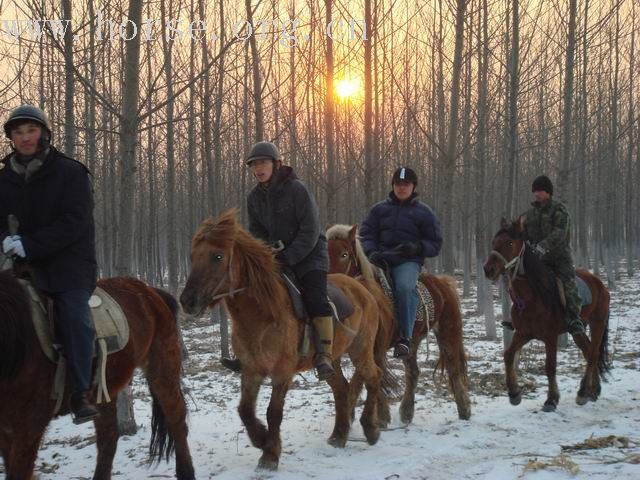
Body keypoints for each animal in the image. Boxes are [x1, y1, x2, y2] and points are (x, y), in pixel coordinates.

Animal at [178, 211, 382, 472]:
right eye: (193, 256)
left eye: (218, 256)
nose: (187, 301)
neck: (263, 313)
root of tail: (362, 287)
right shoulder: (251, 369)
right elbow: (245, 410)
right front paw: (261, 438)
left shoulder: (282, 371)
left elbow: (273, 412)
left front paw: (270, 455)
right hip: (333, 359)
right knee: (342, 389)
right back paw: (339, 435)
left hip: (361, 350)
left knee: (373, 377)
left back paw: (371, 429)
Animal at [330, 223, 470, 422]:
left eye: (344, 254)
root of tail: (442, 283)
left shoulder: (375, 348)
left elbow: (367, 378)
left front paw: (376, 416)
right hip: (412, 342)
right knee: (413, 372)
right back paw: (406, 412)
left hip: (448, 332)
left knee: (454, 368)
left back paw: (464, 409)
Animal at [482, 217, 612, 408]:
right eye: (493, 242)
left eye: (509, 242)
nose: (488, 269)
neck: (531, 296)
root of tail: (600, 285)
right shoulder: (523, 333)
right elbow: (508, 355)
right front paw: (514, 393)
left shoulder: (550, 336)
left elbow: (550, 367)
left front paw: (551, 399)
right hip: (578, 330)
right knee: (589, 352)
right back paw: (592, 391)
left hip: (598, 324)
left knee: (593, 354)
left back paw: (583, 392)